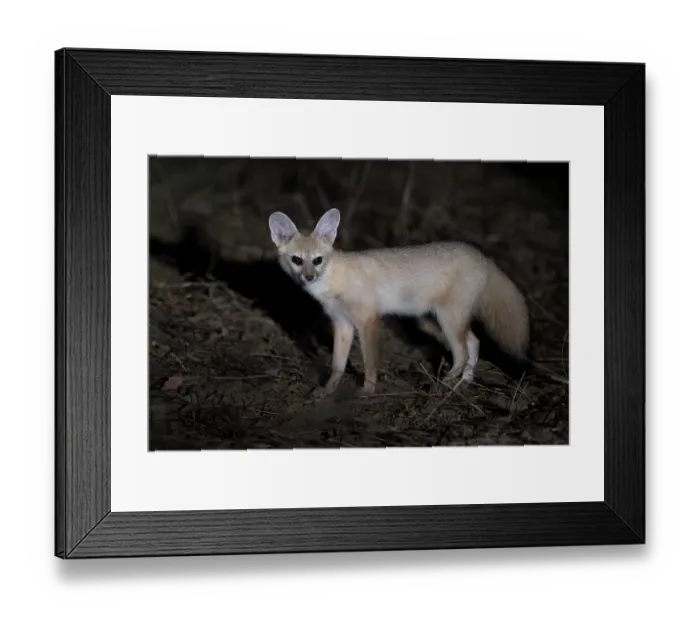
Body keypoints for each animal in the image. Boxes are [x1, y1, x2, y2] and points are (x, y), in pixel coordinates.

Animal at [268, 207, 530, 398]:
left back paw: (444, 381)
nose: (309, 278)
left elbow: (370, 363)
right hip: (450, 320)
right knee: (474, 343)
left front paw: (367, 392)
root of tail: (484, 257)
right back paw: (462, 384)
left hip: (447, 320)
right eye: (297, 260)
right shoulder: (342, 324)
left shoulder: (368, 320)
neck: (337, 279)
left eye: (318, 260)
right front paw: (327, 391)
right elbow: (337, 366)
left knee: (463, 352)